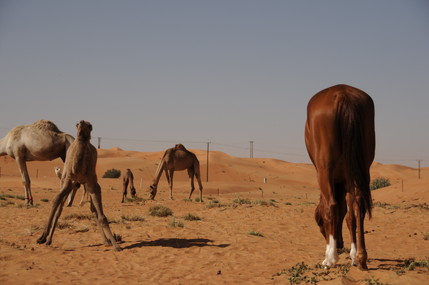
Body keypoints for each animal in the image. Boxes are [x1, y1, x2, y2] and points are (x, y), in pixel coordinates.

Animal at [37, 120, 121, 251]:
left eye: (90, 126)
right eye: (77, 124)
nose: (81, 122)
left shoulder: (92, 183)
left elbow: (101, 215)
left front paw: (116, 245)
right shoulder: (68, 180)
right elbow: (56, 201)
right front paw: (43, 237)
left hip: (85, 185)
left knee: (93, 210)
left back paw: (106, 241)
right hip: (68, 182)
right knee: (60, 208)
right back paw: (48, 240)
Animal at [304, 84, 374, 268]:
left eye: (319, 222)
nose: (341, 244)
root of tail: (343, 93)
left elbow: (334, 210)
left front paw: (331, 253)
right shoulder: (347, 179)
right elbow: (349, 216)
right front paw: (354, 254)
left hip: (325, 169)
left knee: (332, 206)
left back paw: (330, 258)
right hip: (362, 168)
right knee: (358, 207)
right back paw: (361, 257)